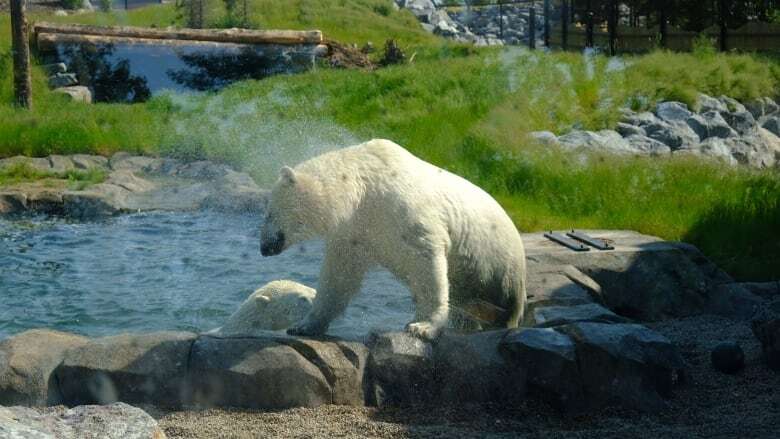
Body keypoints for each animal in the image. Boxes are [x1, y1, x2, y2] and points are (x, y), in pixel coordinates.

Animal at [258, 138, 528, 340]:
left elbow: (427, 265)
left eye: (269, 212)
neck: (363, 189)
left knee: (506, 303)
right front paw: (304, 325)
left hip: (502, 265)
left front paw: (422, 326)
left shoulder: (406, 212)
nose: (264, 247)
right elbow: (339, 276)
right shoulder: (355, 231)